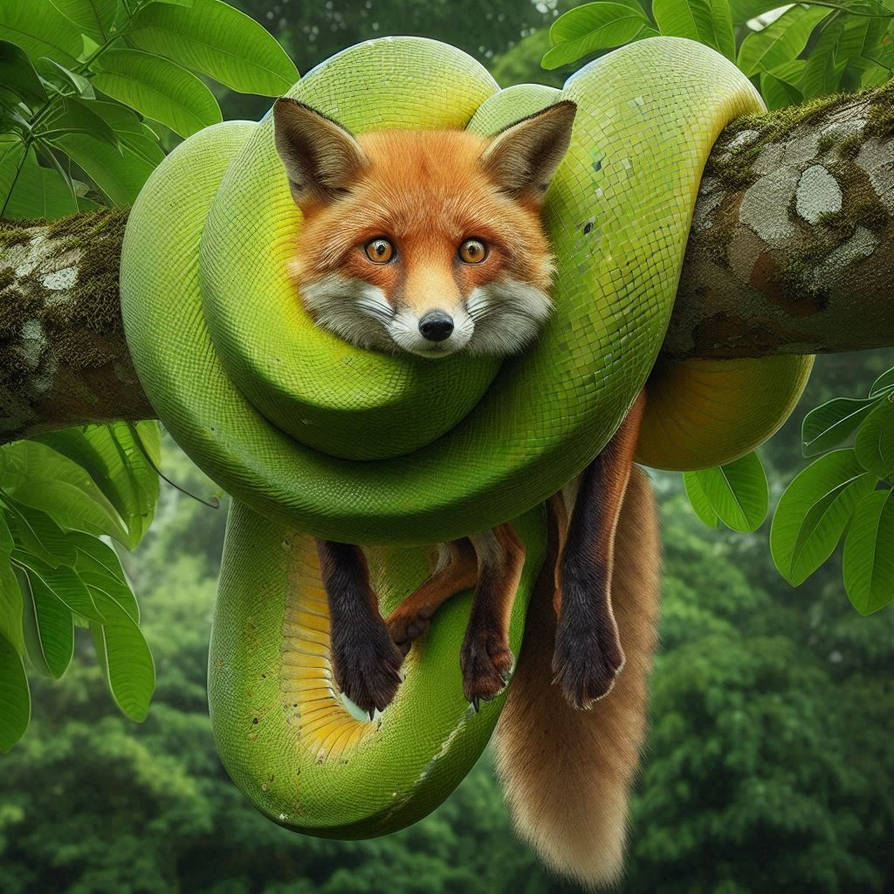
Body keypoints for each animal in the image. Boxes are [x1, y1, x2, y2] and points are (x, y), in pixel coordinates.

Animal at [273, 96, 661, 888]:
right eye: (379, 250)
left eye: (474, 251)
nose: (437, 328)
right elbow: (335, 551)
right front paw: (360, 646)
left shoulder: (624, 390)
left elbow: (585, 543)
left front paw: (583, 640)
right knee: (482, 552)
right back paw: (418, 626)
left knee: (512, 551)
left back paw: (482, 637)